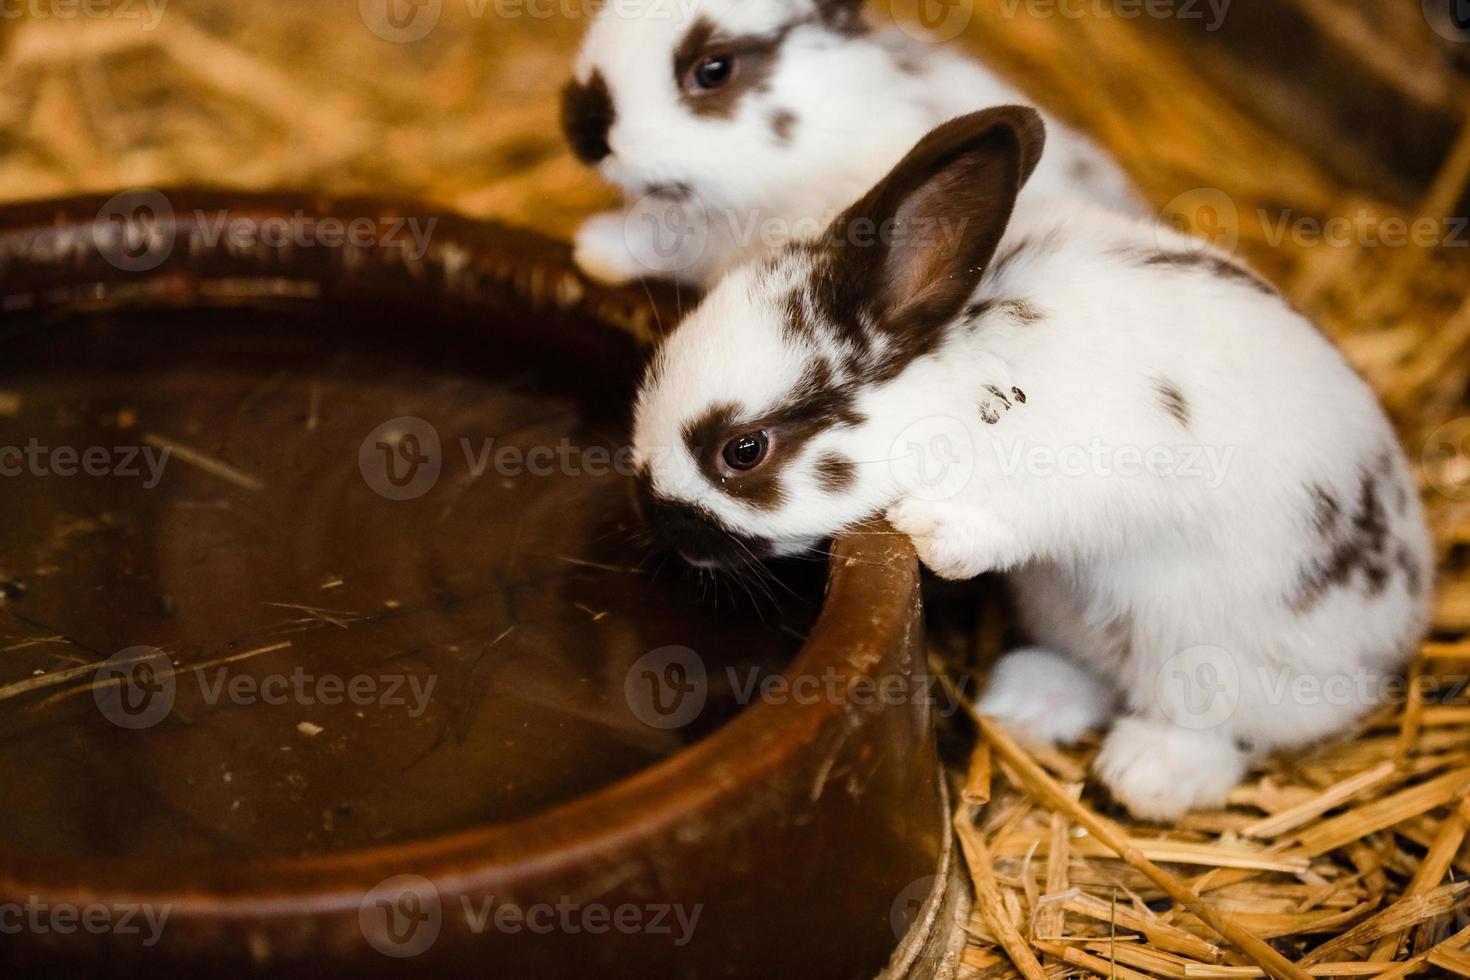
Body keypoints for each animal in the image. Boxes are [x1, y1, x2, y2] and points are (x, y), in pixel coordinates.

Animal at [626, 109, 1428, 822]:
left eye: (743, 450)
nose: (658, 520)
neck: (955, 376)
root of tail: (1404, 623)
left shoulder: (1096, 466)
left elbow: (1029, 510)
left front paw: (934, 533)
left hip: (1225, 660)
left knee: (1220, 729)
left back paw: (1146, 773)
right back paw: (1026, 698)